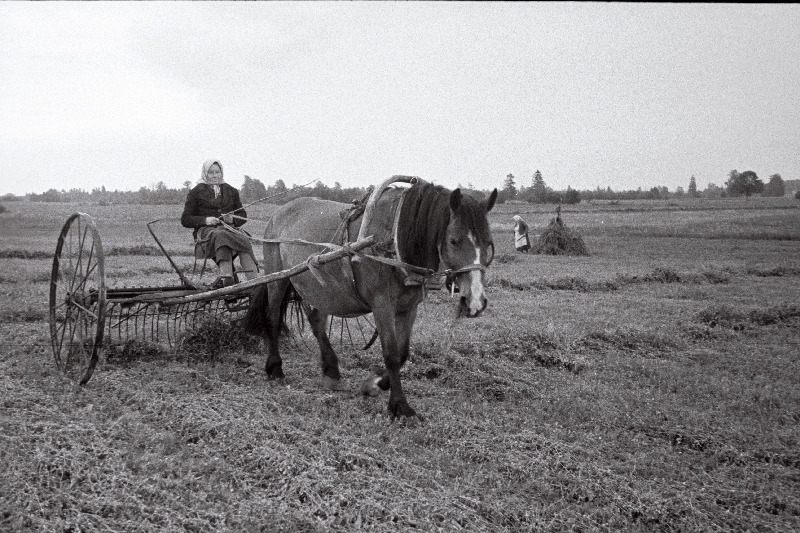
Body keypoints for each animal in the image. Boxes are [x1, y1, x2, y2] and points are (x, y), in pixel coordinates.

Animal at [241, 178, 496, 420]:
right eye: (453, 240)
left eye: (488, 243)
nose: (475, 301)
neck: (394, 240)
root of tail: (280, 211)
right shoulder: (382, 305)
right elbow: (391, 354)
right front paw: (400, 406)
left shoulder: (409, 307)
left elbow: (403, 353)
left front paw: (377, 384)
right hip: (278, 276)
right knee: (273, 318)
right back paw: (275, 368)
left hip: (323, 287)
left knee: (317, 322)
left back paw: (331, 370)